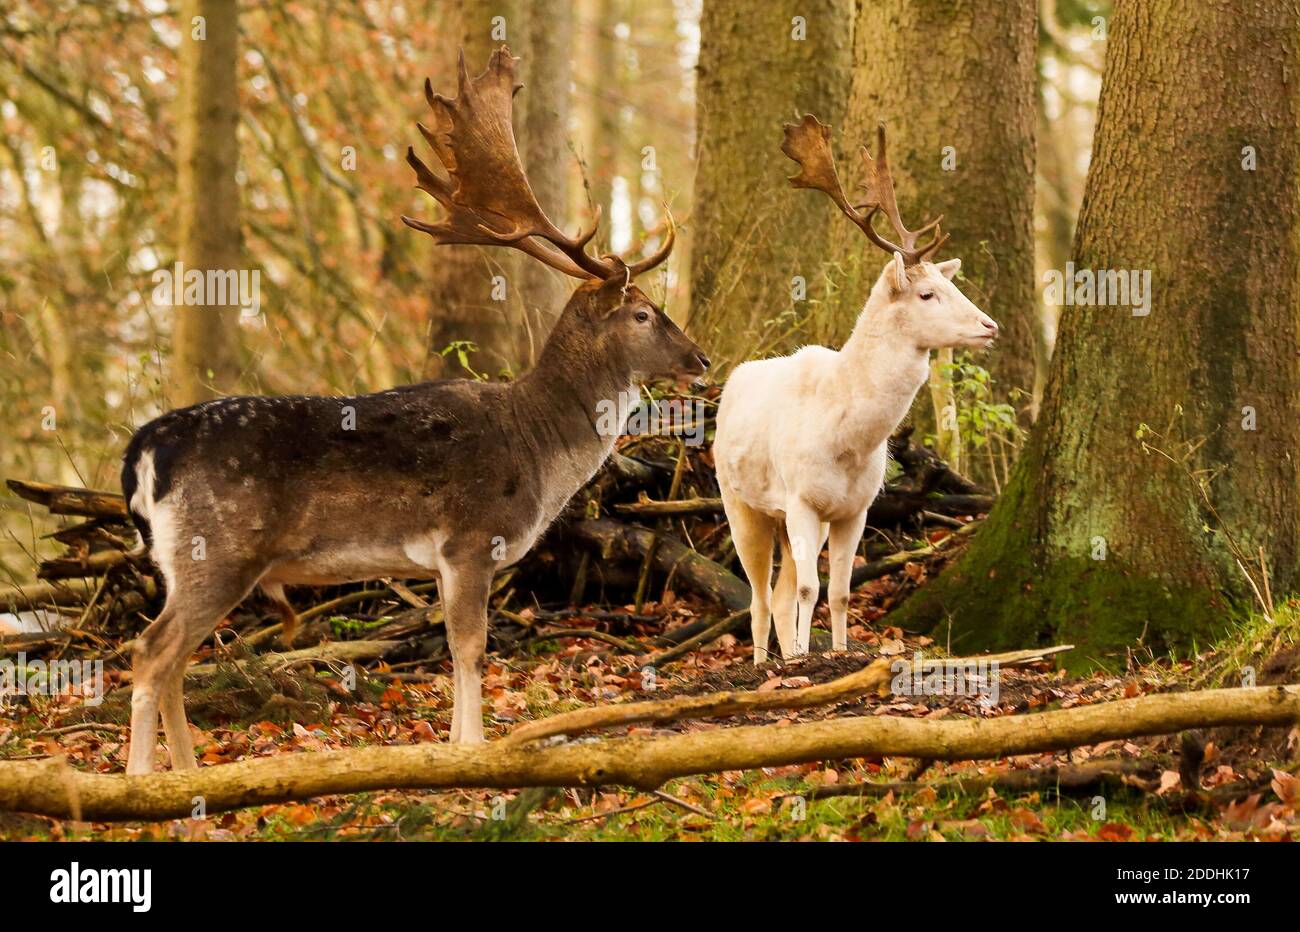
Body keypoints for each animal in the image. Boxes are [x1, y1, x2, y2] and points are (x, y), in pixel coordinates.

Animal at [122, 45, 707, 769]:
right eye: (643, 312)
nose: (702, 359)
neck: (540, 447)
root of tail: (145, 448)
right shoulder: (470, 538)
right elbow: (471, 648)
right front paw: (474, 748)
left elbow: (460, 651)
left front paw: (456, 744)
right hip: (217, 548)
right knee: (150, 652)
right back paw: (145, 775)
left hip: (184, 558)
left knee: (173, 658)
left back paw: (187, 770)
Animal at [717, 118, 998, 662]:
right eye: (926, 293)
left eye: (952, 286)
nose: (989, 325)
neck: (847, 439)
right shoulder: (800, 497)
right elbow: (810, 588)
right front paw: (808, 656)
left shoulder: (856, 507)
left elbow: (841, 590)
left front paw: (840, 652)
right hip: (738, 500)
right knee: (759, 597)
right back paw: (765, 661)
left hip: (788, 516)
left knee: (779, 594)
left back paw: (787, 652)